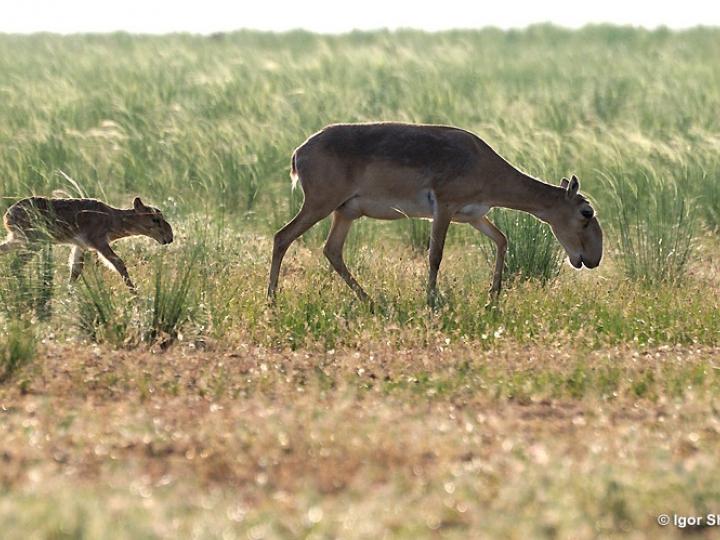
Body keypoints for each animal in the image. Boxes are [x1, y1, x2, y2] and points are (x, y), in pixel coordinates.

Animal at [0, 197, 174, 292]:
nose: (170, 237)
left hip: (19, 240)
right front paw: (135, 293)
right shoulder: (99, 242)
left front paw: (69, 295)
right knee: (15, 265)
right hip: (33, 242)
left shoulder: (80, 246)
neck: (113, 219)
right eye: (155, 219)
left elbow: (75, 271)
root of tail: (7, 215)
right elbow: (119, 264)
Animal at [268, 124, 604, 306]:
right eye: (586, 212)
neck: (484, 164)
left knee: (332, 250)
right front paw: (431, 299)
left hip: (345, 213)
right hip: (320, 205)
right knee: (282, 237)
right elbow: (435, 255)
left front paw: (493, 296)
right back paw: (271, 300)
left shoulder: (473, 215)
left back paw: (371, 301)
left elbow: (502, 240)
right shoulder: (443, 207)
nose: (592, 258)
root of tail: (299, 152)